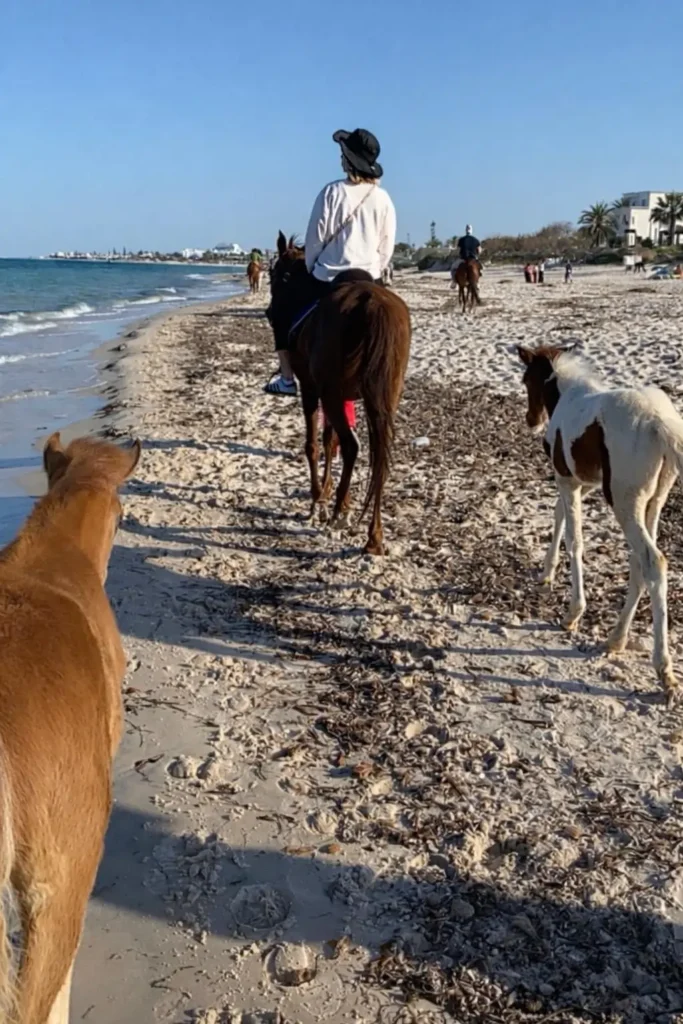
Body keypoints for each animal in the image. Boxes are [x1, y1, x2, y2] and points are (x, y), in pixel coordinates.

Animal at [268, 231, 411, 554]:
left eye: (278, 275)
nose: (269, 312)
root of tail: (371, 303)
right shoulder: (338, 395)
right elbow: (328, 440)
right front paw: (334, 496)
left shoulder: (312, 390)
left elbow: (314, 444)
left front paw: (319, 500)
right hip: (381, 398)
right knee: (378, 458)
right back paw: (374, 536)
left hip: (331, 393)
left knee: (352, 446)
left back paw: (336, 517)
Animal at [517, 343, 683, 704]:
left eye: (526, 380)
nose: (531, 421)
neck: (567, 395)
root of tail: (659, 423)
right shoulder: (581, 483)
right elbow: (558, 516)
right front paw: (546, 573)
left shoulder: (566, 479)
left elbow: (575, 539)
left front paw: (573, 613)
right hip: (653, 502)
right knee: (639, 562)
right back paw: (616, 639)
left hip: (624, 502)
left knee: (653, 561)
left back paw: (663, 671)